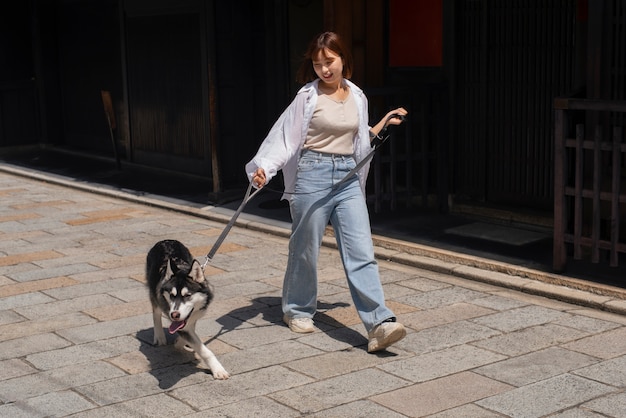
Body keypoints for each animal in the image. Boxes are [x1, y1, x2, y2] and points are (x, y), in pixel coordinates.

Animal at [146, 238, 229, 378]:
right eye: (172, 295)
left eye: (187, 295)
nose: (174, 315)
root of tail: (166, 240)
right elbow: (203, 349)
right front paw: (218, 370)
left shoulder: (192, 318)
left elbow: (190, 333)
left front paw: (180, 342)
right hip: (155, 292)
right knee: (156, 312)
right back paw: (159, 336)